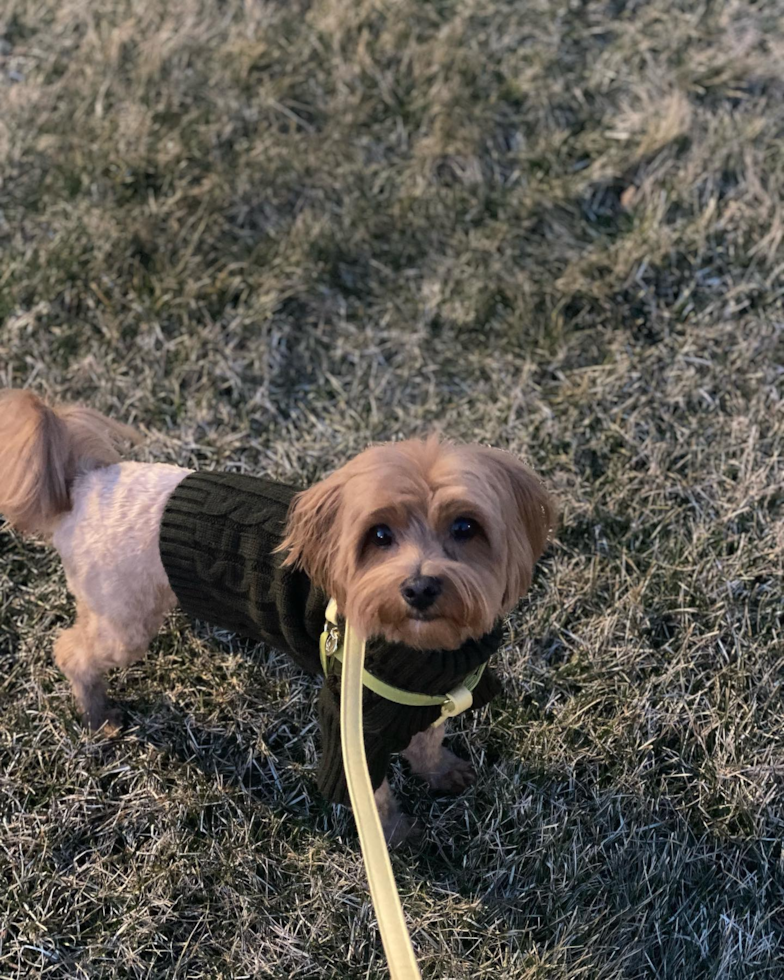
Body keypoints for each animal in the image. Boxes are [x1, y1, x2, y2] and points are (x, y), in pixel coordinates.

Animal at [0, 390, 556, 844]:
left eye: (466, 527)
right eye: (379, 535)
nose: (419, 588)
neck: (421, 650)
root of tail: (85, 483)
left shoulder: (429, 700)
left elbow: (428, 741)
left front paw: (440, 772)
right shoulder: (349, 724)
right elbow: (371, 797)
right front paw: (398, 838)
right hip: (124, 616)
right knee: (72, 651)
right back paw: (97, 712)